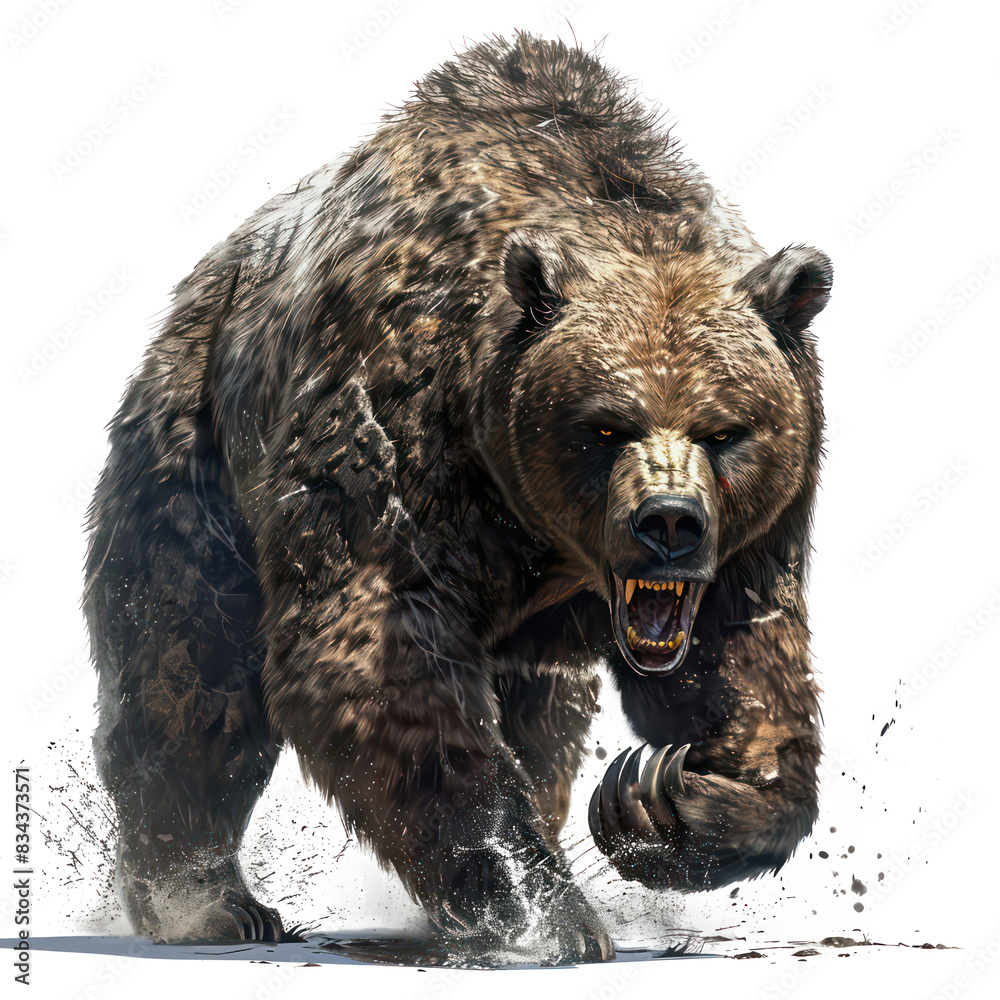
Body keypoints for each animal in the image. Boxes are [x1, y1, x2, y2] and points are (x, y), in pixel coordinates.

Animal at [84, 33, 832, 963]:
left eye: (725, 428)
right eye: (605, 426)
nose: (668, 523)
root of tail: (205, 280)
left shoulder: (753, 537)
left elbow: (743, 663)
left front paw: (663, 798)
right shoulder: (396, 438)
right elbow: (376, 661)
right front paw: (546, 910)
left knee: (543, 720)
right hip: (197, 449)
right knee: (189, 669)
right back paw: (205, 902)